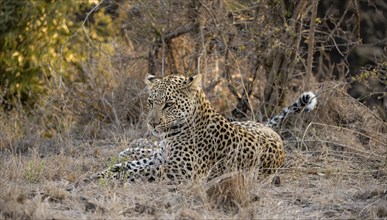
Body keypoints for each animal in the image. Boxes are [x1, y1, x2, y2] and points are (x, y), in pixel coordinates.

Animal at [94, 73, 318, 182]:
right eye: (150, 102)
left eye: (168, 104)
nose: (152, 123)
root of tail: (271, 131)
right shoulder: (160, 158)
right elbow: (125, 166)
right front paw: (99, 174)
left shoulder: (180, 170)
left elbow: (135, 172)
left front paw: (107, 178)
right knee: (147, 148)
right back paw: (129, 149)